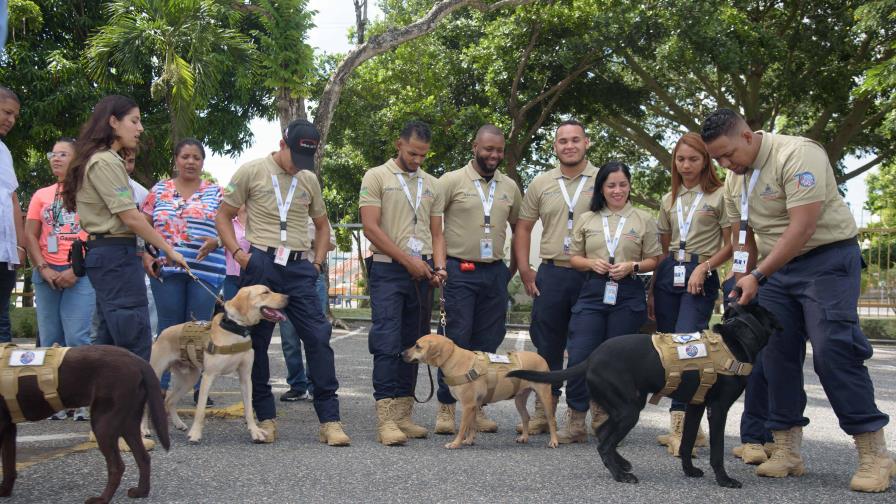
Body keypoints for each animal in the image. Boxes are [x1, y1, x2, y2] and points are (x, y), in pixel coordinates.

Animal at [145, 286, 288, 442]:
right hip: (156, 374)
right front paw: (195, 434)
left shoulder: (245, 377)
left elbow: (249, 409)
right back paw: (144, 430)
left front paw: (255, 431)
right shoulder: (208, 376)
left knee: (169, 401)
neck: (235, 330)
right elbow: (200, 410)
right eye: (265, 292)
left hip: (189, 379)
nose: (288, 297)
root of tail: (162, 333)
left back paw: (178, 424)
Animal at [402, 334, 556, 448]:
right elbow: (472, 425)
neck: (455, 359)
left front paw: (455, 443)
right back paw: (524, 437)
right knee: (526, 417)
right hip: (519, 399)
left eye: (418, 346)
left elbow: (463, 427)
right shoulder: (474, 405)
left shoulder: (468, 405)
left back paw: (554, 441)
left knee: (551, 420)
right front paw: (469, 440)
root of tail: (541, 358)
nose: (401, 354)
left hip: (544, 397)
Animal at [512, 304, 776, 488]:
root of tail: (591, 358)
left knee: (603, 433)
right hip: (628, 410)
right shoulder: (718, 409)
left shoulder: (695, 406)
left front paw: (689, 471)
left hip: (627, 406)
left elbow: (687, 441)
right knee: (604, 444)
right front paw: (724, 480)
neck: (735, 341)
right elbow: (717, 450)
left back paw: (622, 464)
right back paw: (620, 475)